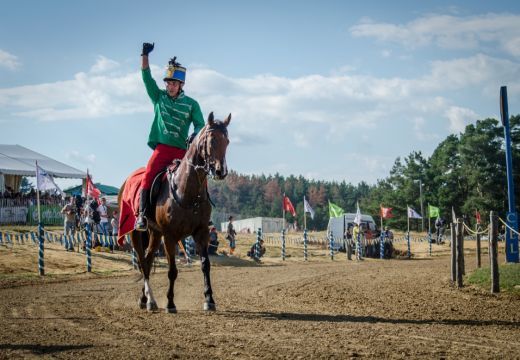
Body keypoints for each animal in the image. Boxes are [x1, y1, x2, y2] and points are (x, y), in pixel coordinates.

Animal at [121, 112, 231, 312]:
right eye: (212, 140)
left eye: (227, 141)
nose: (221, 171)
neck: (187, 190)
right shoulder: (170, 236)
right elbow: (172, 270)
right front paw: (170, 303)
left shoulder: (201, 232)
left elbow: (205, 265)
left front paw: (209, 299)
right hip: (136, 234)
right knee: (142, 262)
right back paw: (151, 300)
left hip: (155, 233)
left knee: (148, 260)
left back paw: (145, 299)